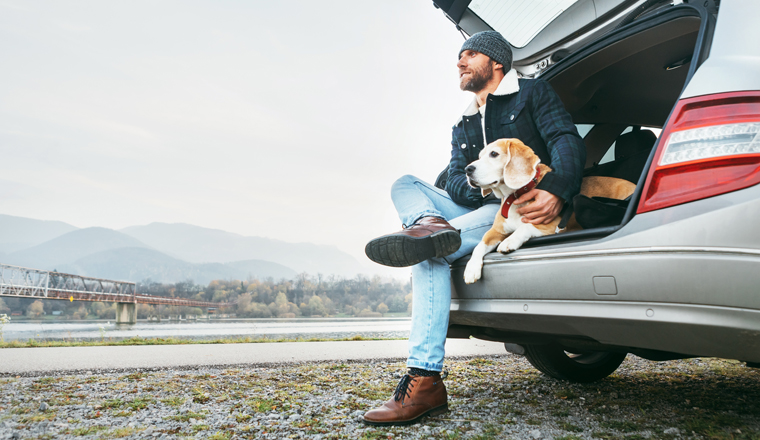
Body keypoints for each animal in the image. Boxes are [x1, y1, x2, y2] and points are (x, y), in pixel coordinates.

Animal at [464, 138, 636, 286]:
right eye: (479, 157)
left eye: (494, 154)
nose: (467, 169)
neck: (513, 197)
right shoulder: (496, 231)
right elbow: (479, 245)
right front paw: (471, 268)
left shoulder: (552, 225)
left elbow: (524, 227)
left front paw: (509, 241)